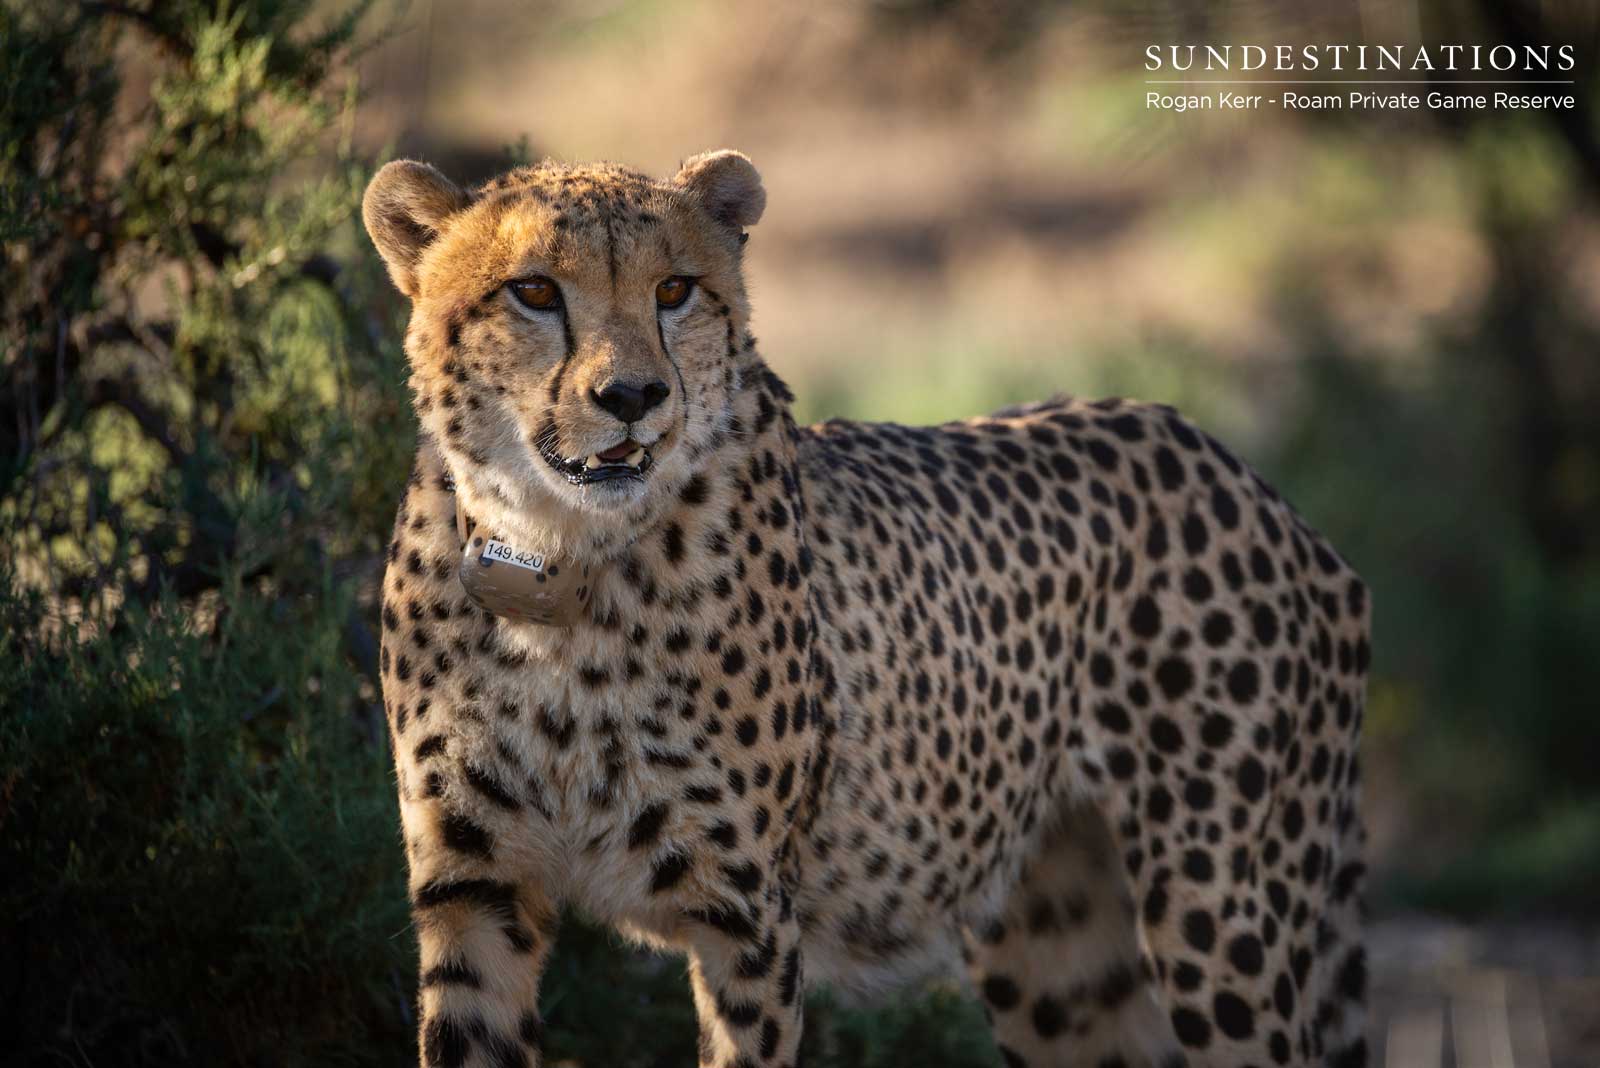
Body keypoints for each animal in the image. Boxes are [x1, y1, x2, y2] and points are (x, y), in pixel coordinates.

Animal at [362, 148, 1371, 1068]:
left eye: (675, 289)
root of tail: (1237, 466)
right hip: (1062, 952)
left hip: (1217, 915)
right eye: (533, 291)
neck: (556, 563)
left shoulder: (745, 915)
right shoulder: (474, 892)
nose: (633, 396)